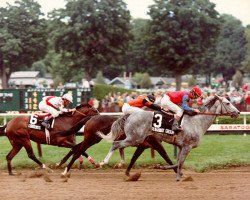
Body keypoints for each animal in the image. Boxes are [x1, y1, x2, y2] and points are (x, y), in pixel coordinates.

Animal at [97, 95, 240, 181]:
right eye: (228, 102)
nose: (238, 112)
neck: (196, 122)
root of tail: (129, 115)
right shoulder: (187, 146)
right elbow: (179, 162)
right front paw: (173, 174)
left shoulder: (182, 146)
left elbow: (178, 162)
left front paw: (178, 173)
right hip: (135, 138)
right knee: (116, 144)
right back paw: (104, 162)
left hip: (136, 139)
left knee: (119, 144)